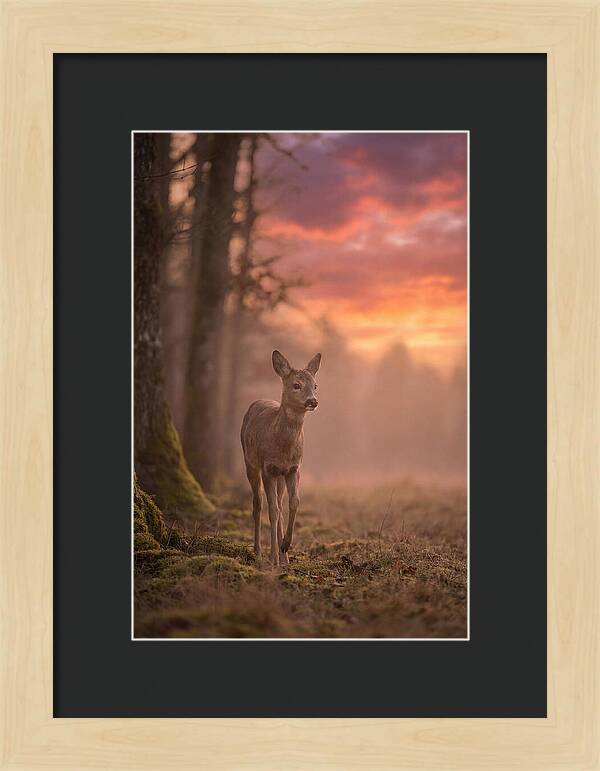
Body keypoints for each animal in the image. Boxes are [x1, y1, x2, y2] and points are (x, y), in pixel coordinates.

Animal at [241, 350, 321, 567]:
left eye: (315, 385)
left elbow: (294, 503)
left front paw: (285, 545)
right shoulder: (268, 468)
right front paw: (273, 558)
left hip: (280, 476)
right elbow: (273, 511)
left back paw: (284, 556)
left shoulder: (294, 468)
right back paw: (259, 551)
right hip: (250, 463)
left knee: (278, 501)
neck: (284, 449)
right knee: (258, 504)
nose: (312, 401)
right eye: (296, 385)